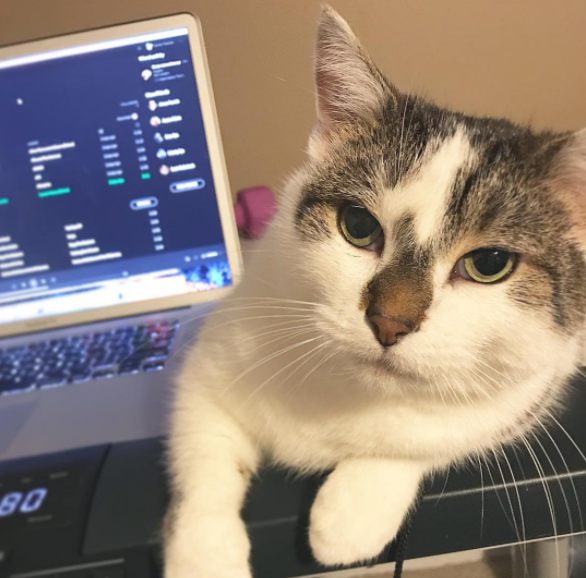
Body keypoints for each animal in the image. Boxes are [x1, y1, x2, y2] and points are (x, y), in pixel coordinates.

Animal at [164, 6, 586, 577]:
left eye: (489, 264)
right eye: (358, 226)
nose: (389, 322)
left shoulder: (536, 385)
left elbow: (439, 438)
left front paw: (352, 512)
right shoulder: (214, 359)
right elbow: (204, 455)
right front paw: (204, 553)